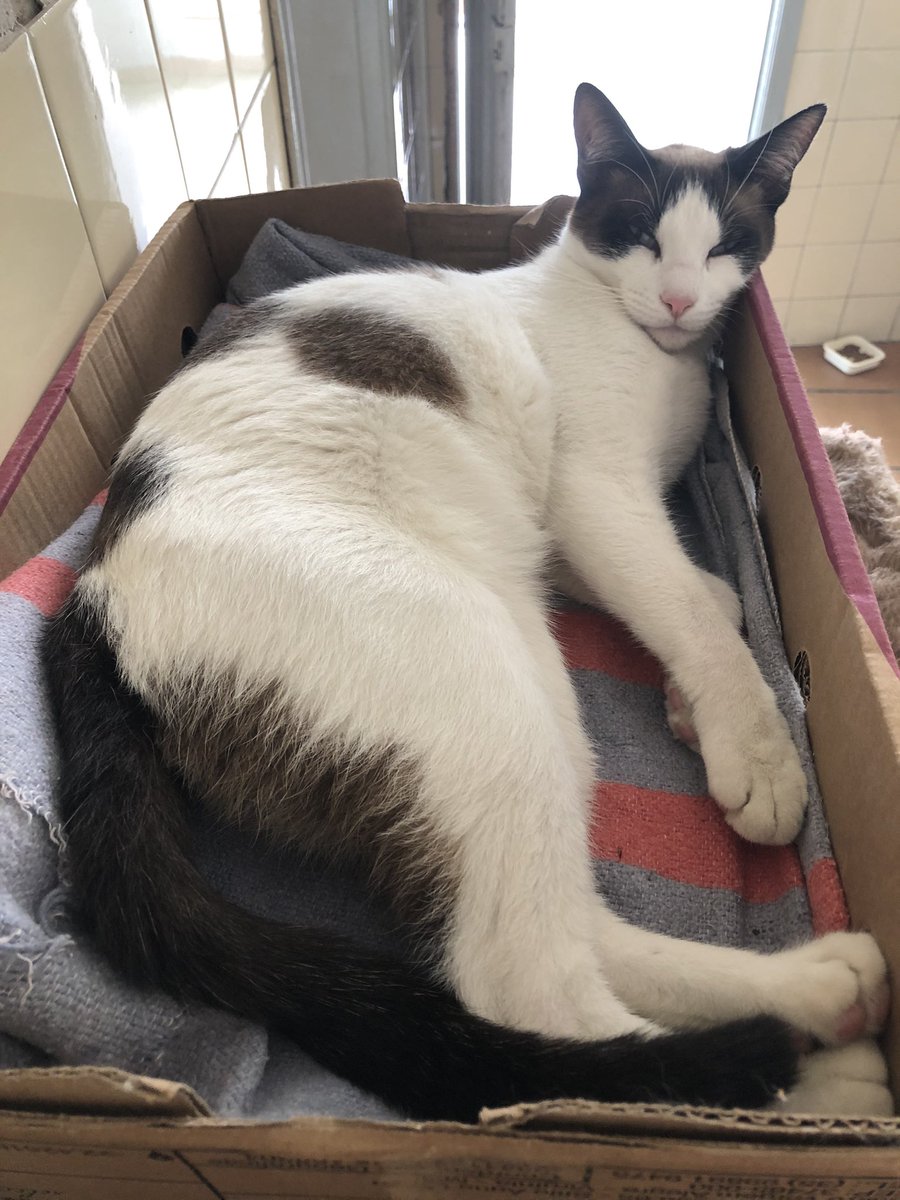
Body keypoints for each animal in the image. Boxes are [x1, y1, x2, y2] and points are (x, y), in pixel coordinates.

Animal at [43, 84, 892, 1122]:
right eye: (643, 235)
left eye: (729, 241)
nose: (683, 299)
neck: (659, 356)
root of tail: (92, 592)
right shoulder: (595, 495)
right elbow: (697, 616)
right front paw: (758, 748)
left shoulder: (570, 539)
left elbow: (714, 597)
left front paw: (691, 705)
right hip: (479, 690)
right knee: (530, 988)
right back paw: (785, 1092)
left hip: (532, 671)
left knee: (575, 921)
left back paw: (816, 1003)